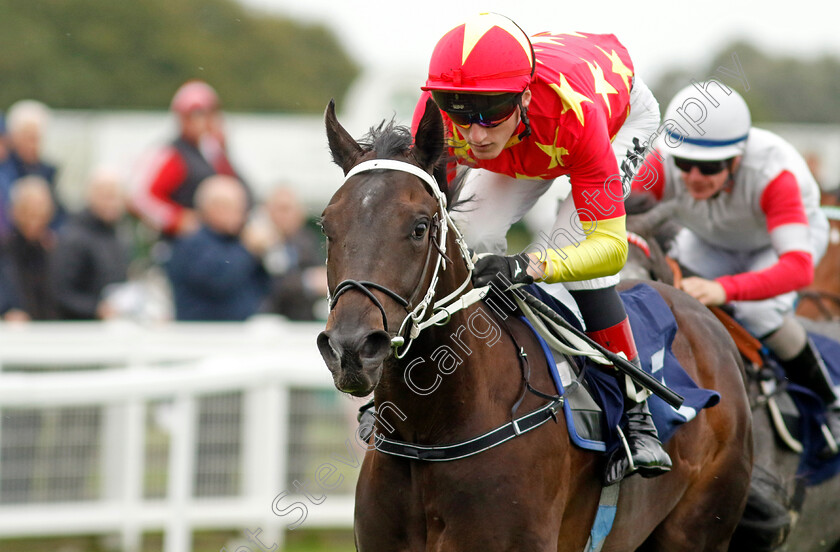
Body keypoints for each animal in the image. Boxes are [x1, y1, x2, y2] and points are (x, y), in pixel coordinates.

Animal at [318, 100, 752, 552]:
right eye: (326, 226)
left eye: (419, 227)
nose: (351, 349)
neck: (430, 433)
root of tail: (704, 314)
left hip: (700, 526)